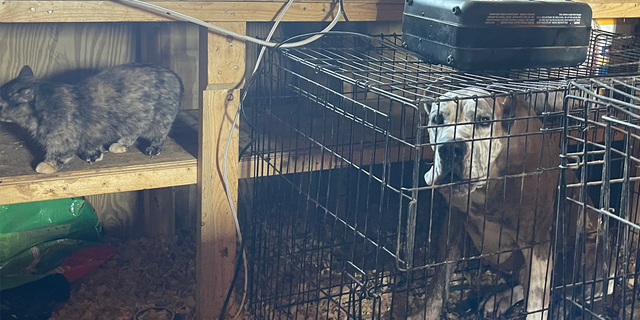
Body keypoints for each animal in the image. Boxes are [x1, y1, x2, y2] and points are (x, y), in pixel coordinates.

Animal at [408, 87, 608, 320]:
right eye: (437, 120)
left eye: (484, 120)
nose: (450, 148)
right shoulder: (453, 224)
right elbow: (439, 283)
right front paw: (426, 313)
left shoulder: (537, 244)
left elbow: (537, 302)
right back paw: (501, 299)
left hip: (587, 248)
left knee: (569, 290)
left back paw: (561, 306)